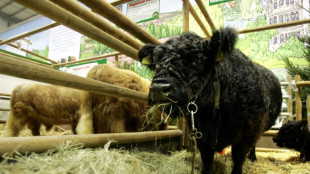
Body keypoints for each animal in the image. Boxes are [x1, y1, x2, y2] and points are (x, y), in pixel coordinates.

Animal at [139, 27, 282, 173]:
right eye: (155, 63)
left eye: (197, 59)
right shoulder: (201, 135)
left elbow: (239, 157)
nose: (158, 88)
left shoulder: (249, 131)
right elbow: (207, 159)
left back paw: (253, 157)